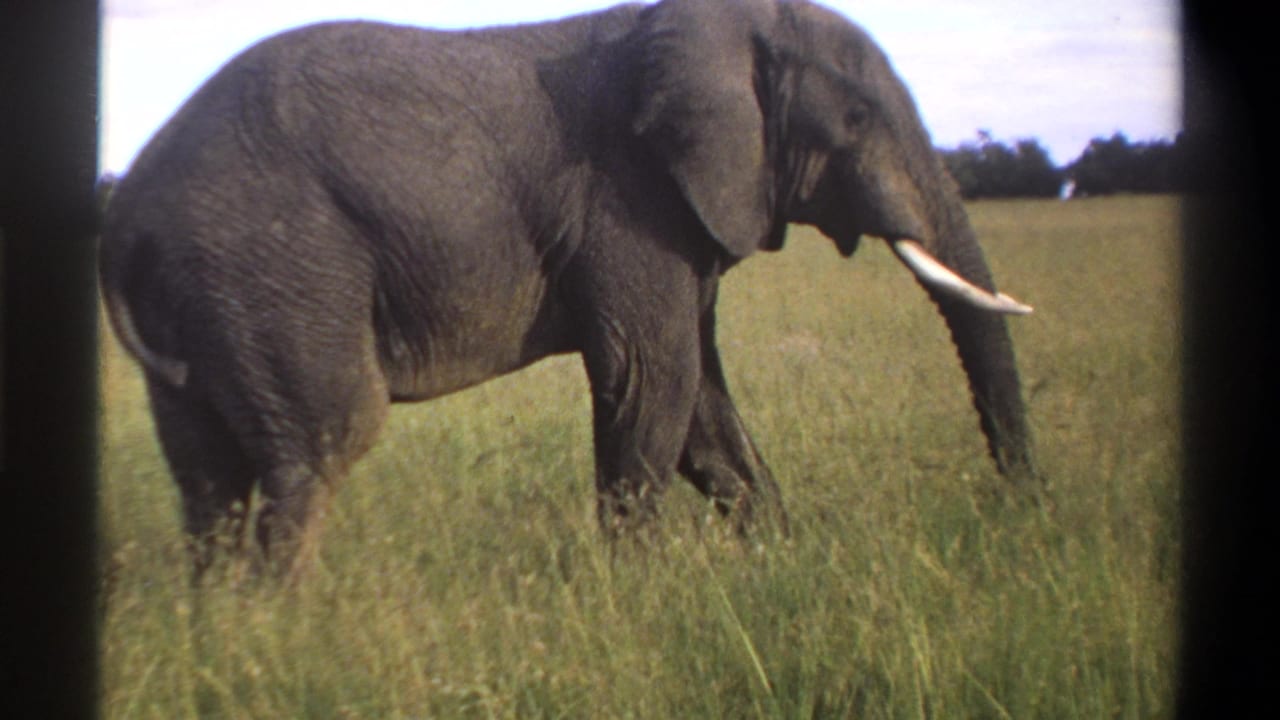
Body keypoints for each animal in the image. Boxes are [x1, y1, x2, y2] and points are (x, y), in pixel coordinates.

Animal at [100, 0, 1038, 578]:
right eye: (856, 120)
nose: (1023, 512)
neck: (707, 25)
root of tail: (128, 210)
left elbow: (701, 405)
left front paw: (787, 561)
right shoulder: (628, 203)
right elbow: (653, 381)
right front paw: (639, 596)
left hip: (204, 296)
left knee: (210, 480)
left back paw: (228, 635)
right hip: (273, 269)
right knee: (320, 443)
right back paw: (289, 634)